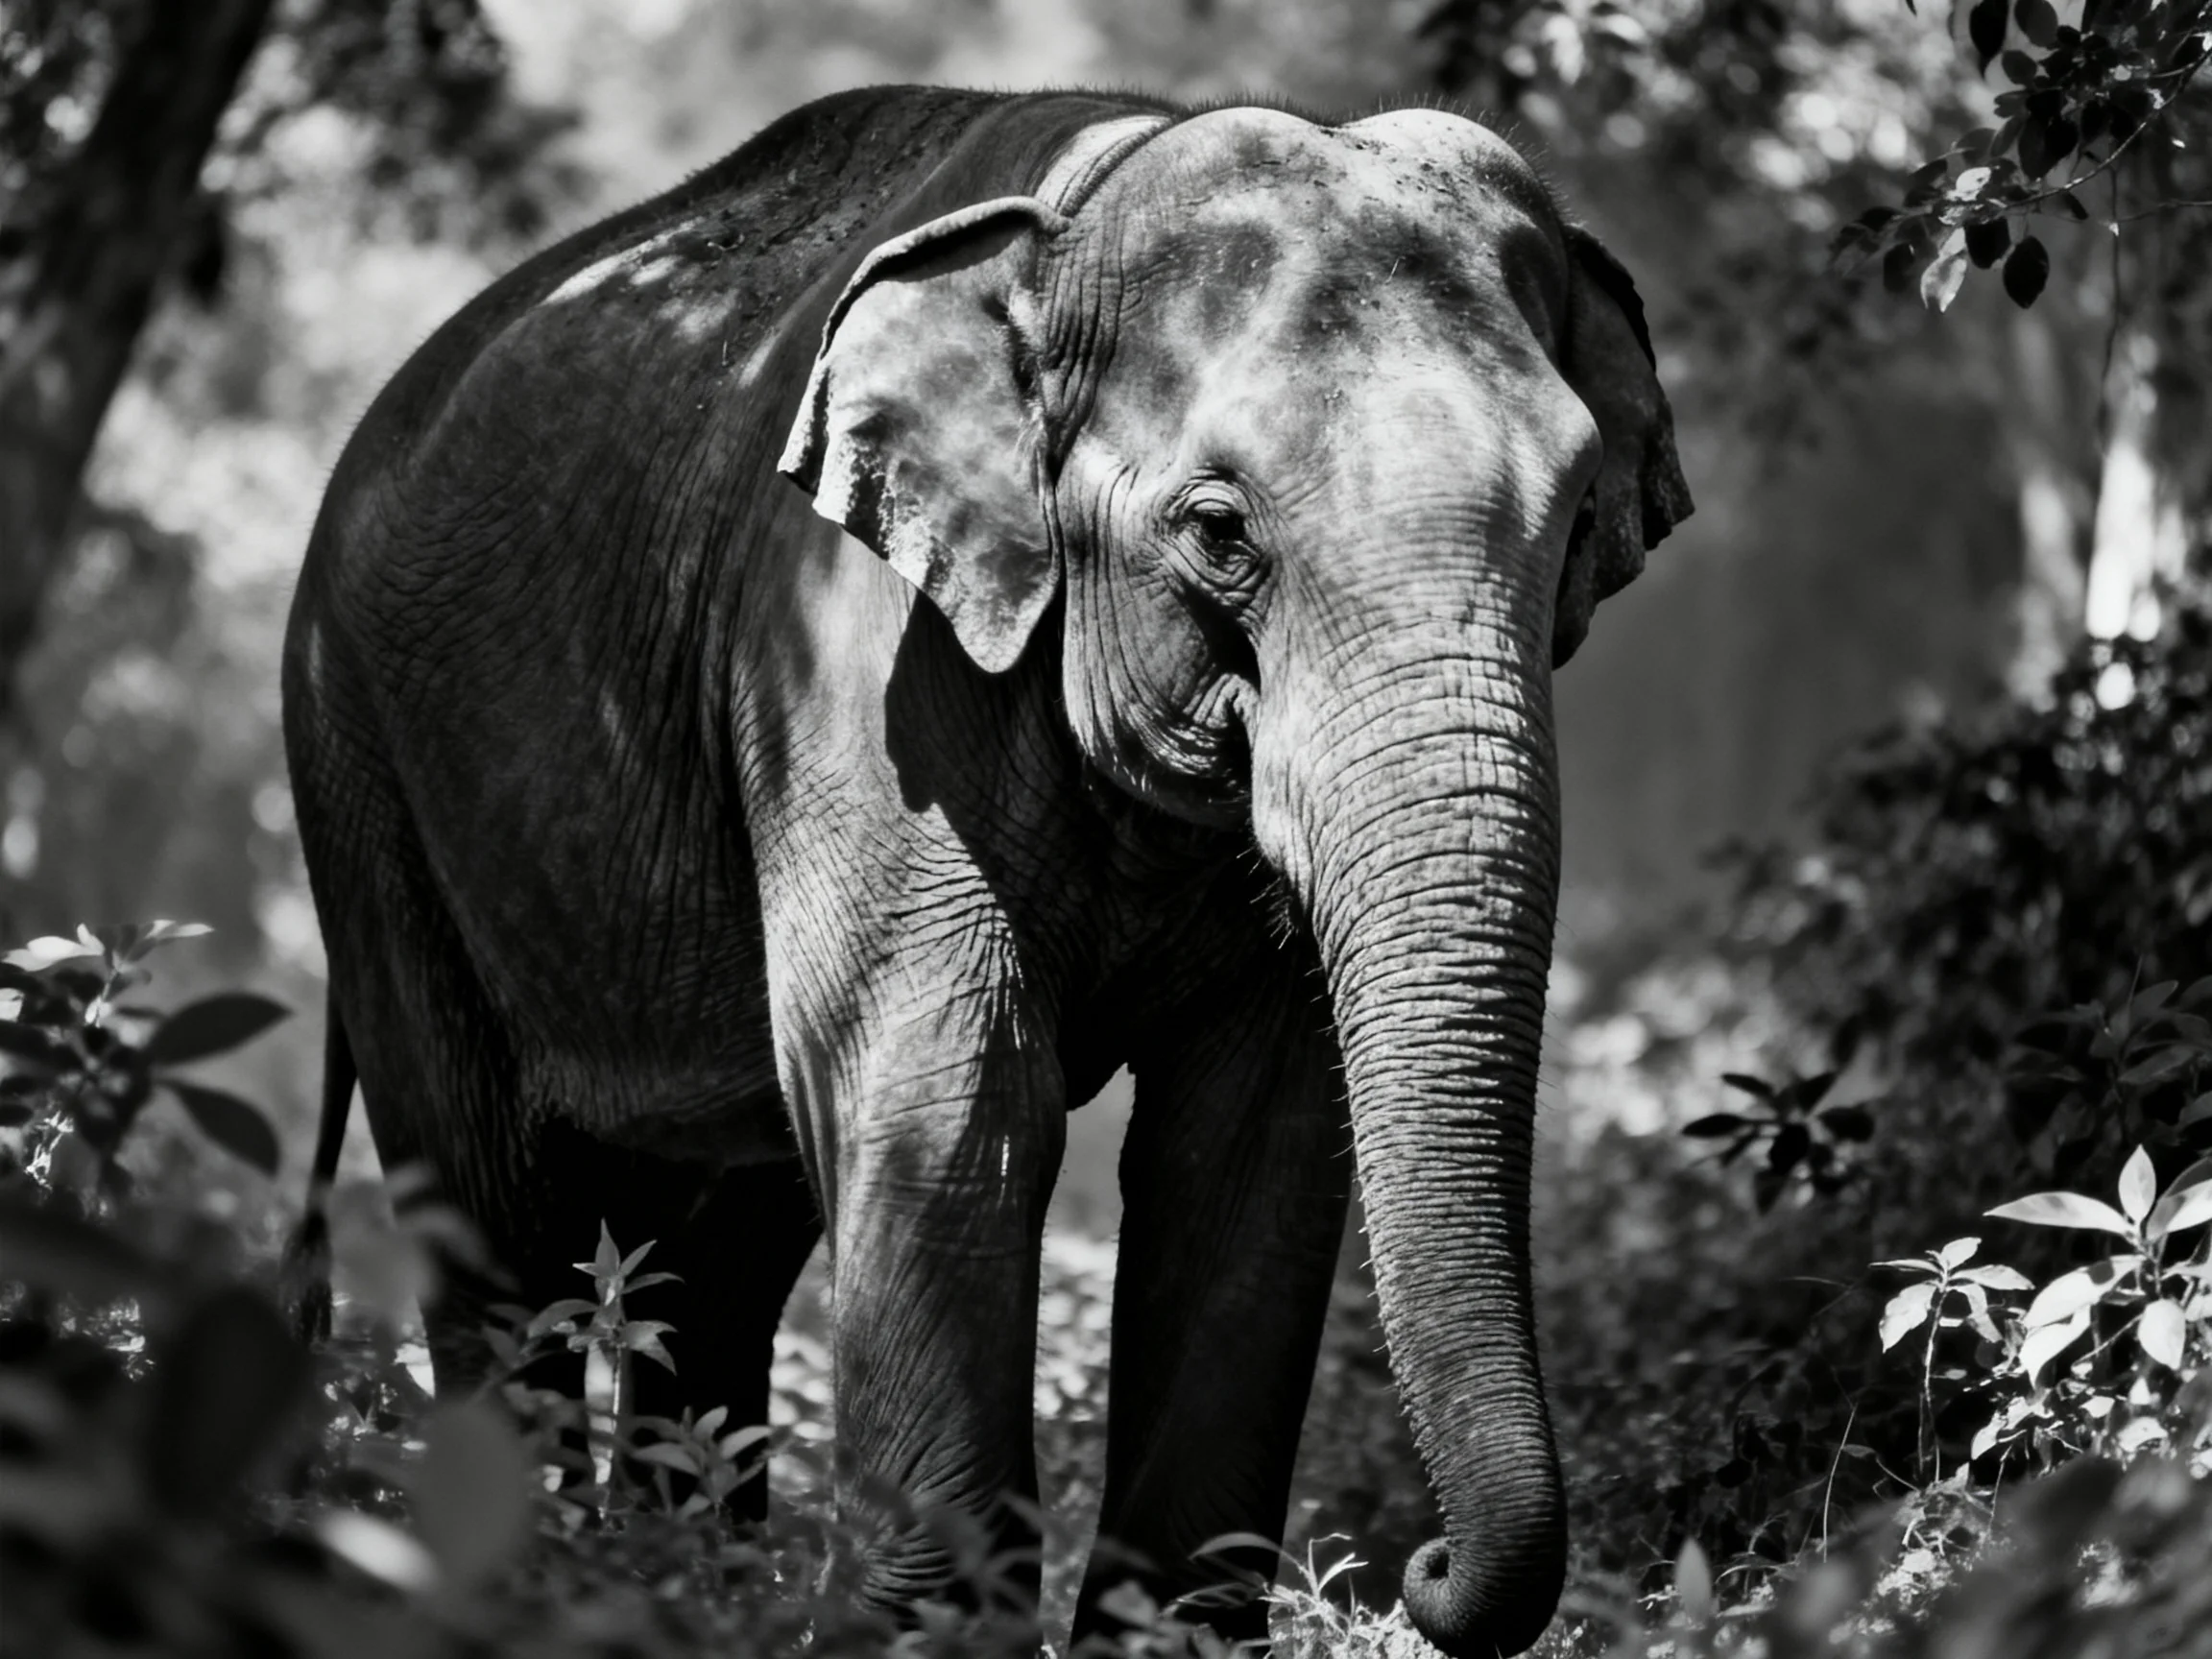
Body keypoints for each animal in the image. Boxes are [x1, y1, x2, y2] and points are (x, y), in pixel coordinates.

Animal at [283, 84, 1689, 1658]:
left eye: (1580, 522)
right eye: (1221, 532)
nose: (1421, 1574)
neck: (1075, 213)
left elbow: (1255, 1141)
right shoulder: (854, 657)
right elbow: (953, 1100)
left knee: (716, 1254)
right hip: (359, 769)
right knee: (490, 1220)